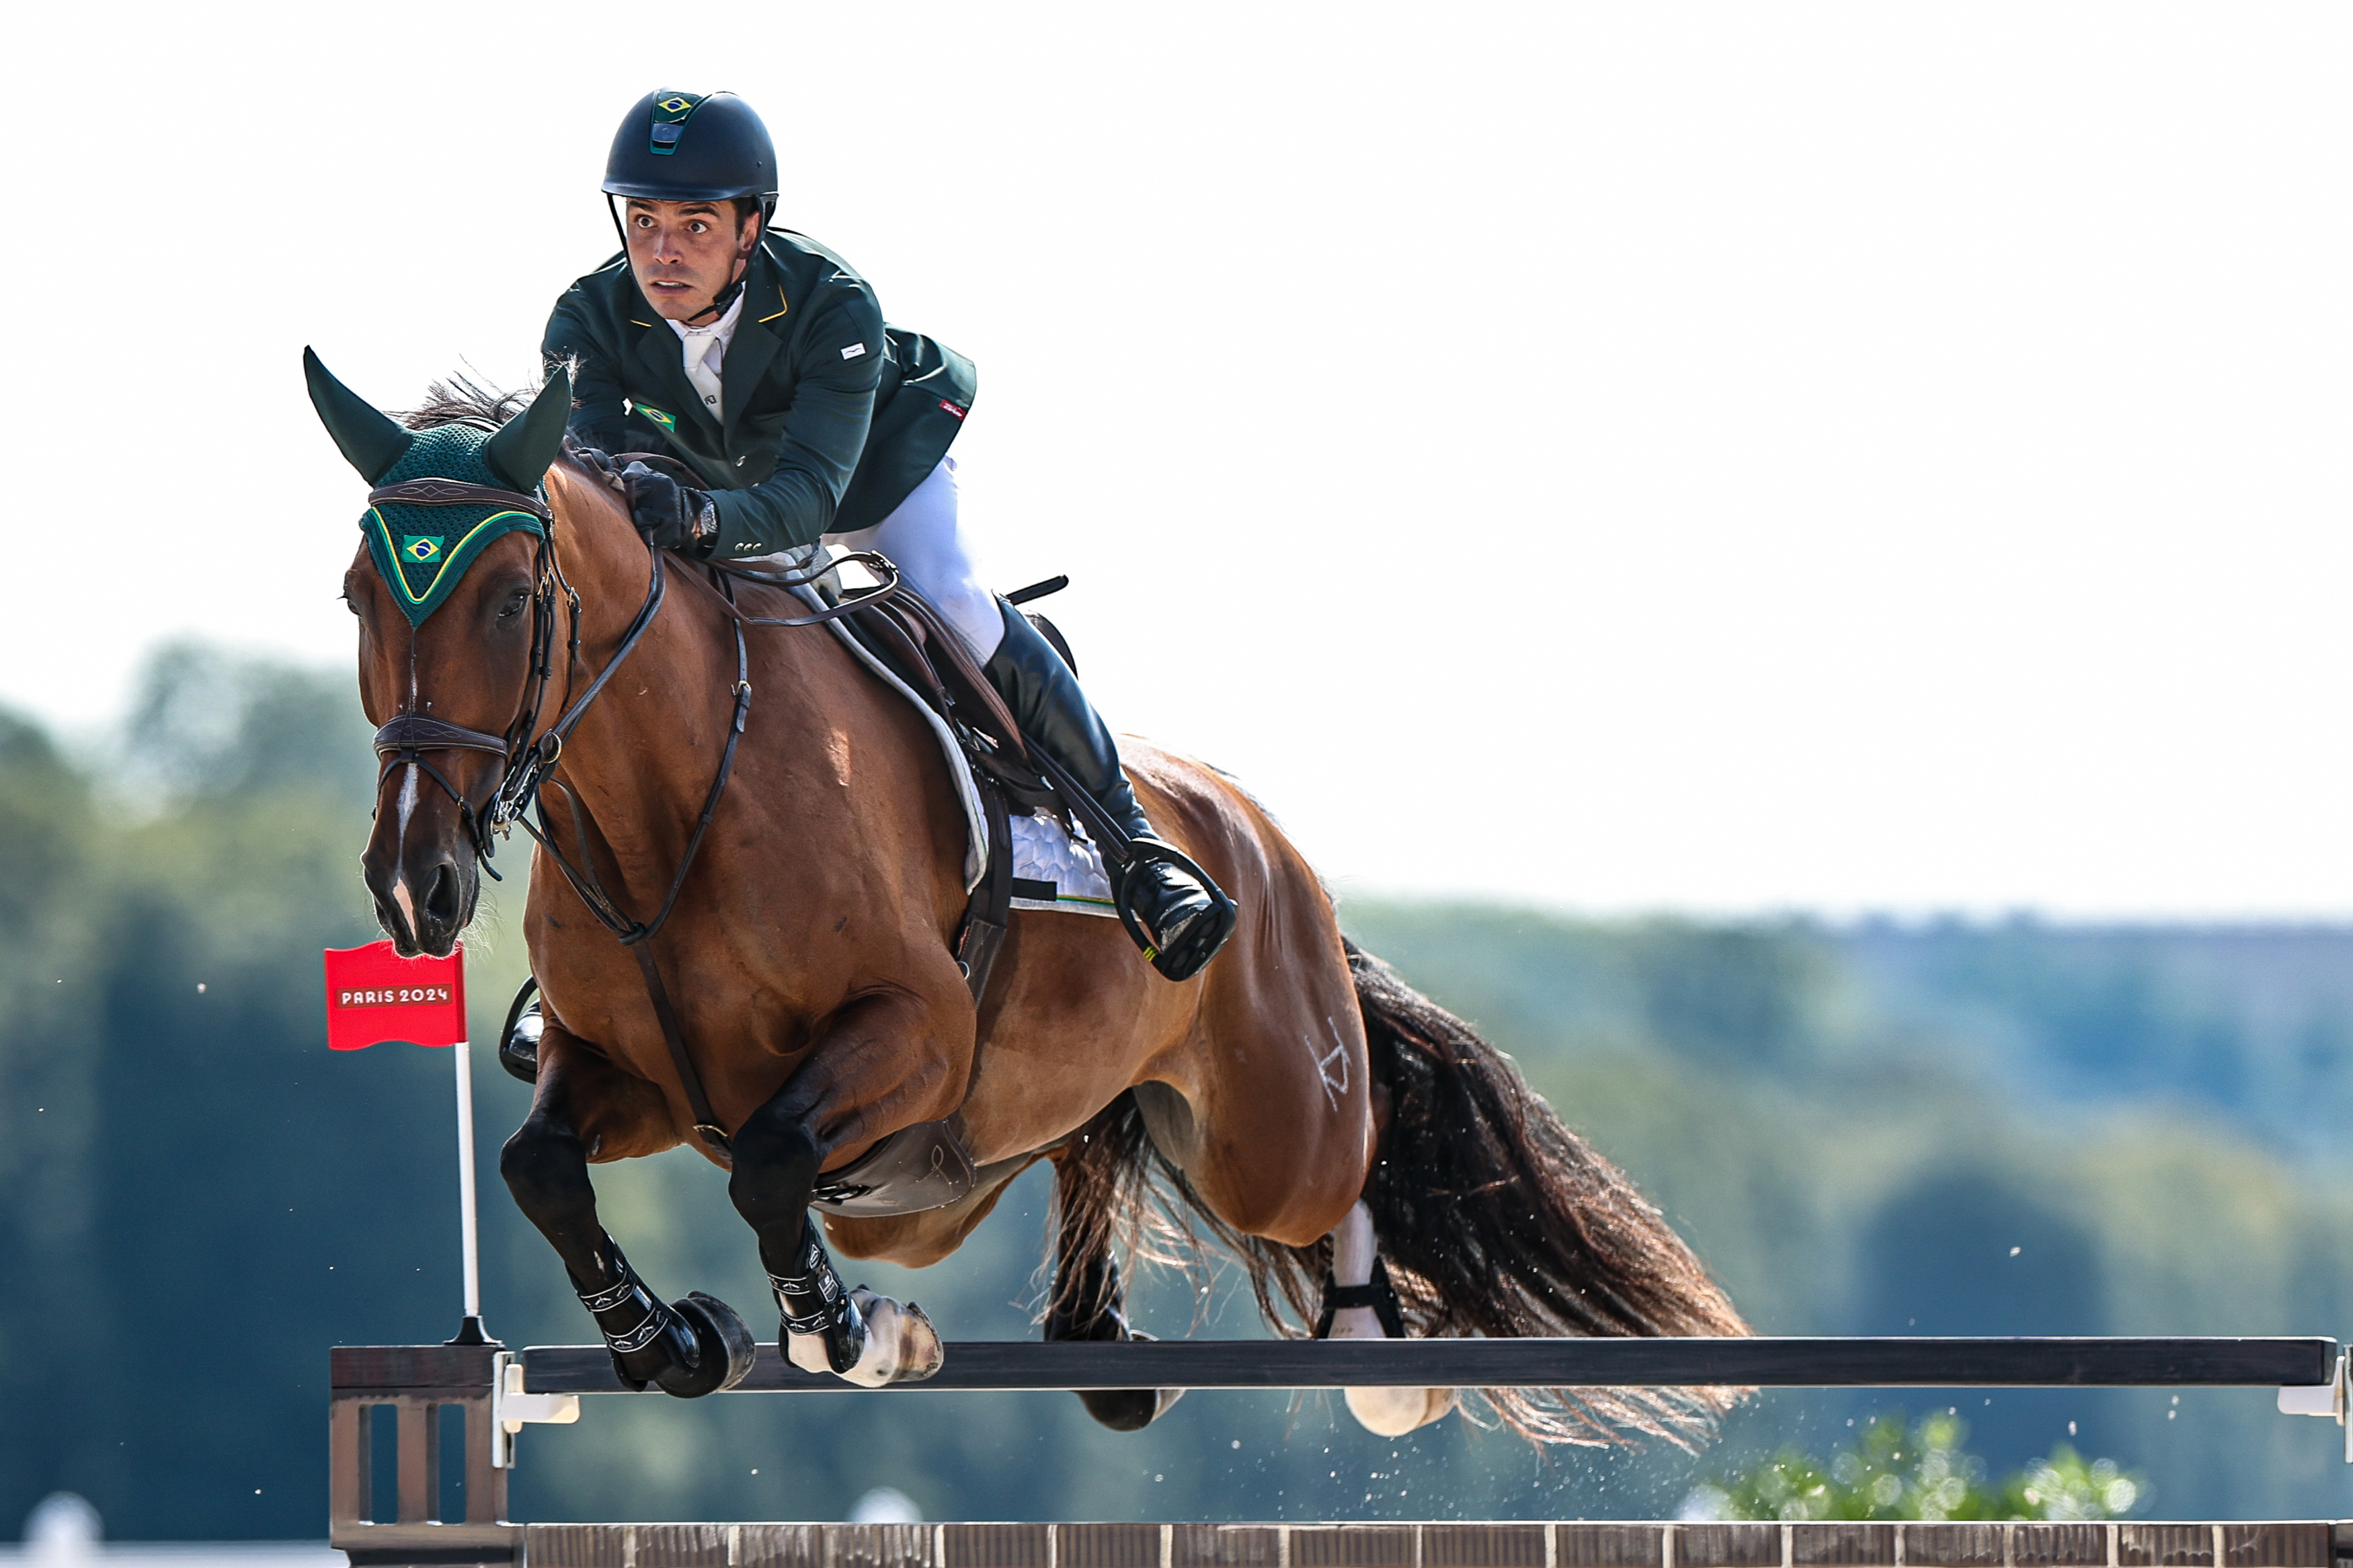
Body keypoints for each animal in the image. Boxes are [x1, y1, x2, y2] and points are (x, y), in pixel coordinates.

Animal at [308, 355, 1751, 1448]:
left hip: (1270, 1127)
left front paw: (848, 1331)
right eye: (359, 594)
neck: (670, 808)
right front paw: (669, 1337)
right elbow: (539, 1167)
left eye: (511, 600)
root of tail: (1270, 849)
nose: (415, 882)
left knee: (1349, 1158)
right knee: (1092, 1138)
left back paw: (1377, 1353)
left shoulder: (914, 1034)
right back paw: (1099, 1342)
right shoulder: (636, 1074)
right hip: (975, 1175)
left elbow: (774, 1161)